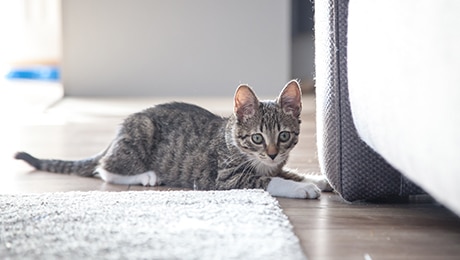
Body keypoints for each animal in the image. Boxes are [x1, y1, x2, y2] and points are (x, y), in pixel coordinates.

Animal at [14, 80, 330, 198]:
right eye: (257, 138)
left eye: (284, 136)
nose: (274, 153)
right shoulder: (226, 178)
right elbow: (267, 180)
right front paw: (301, 188)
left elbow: (286, 171)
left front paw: (317, 179)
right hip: (141, 133)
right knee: (105, 168)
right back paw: (146, 176)